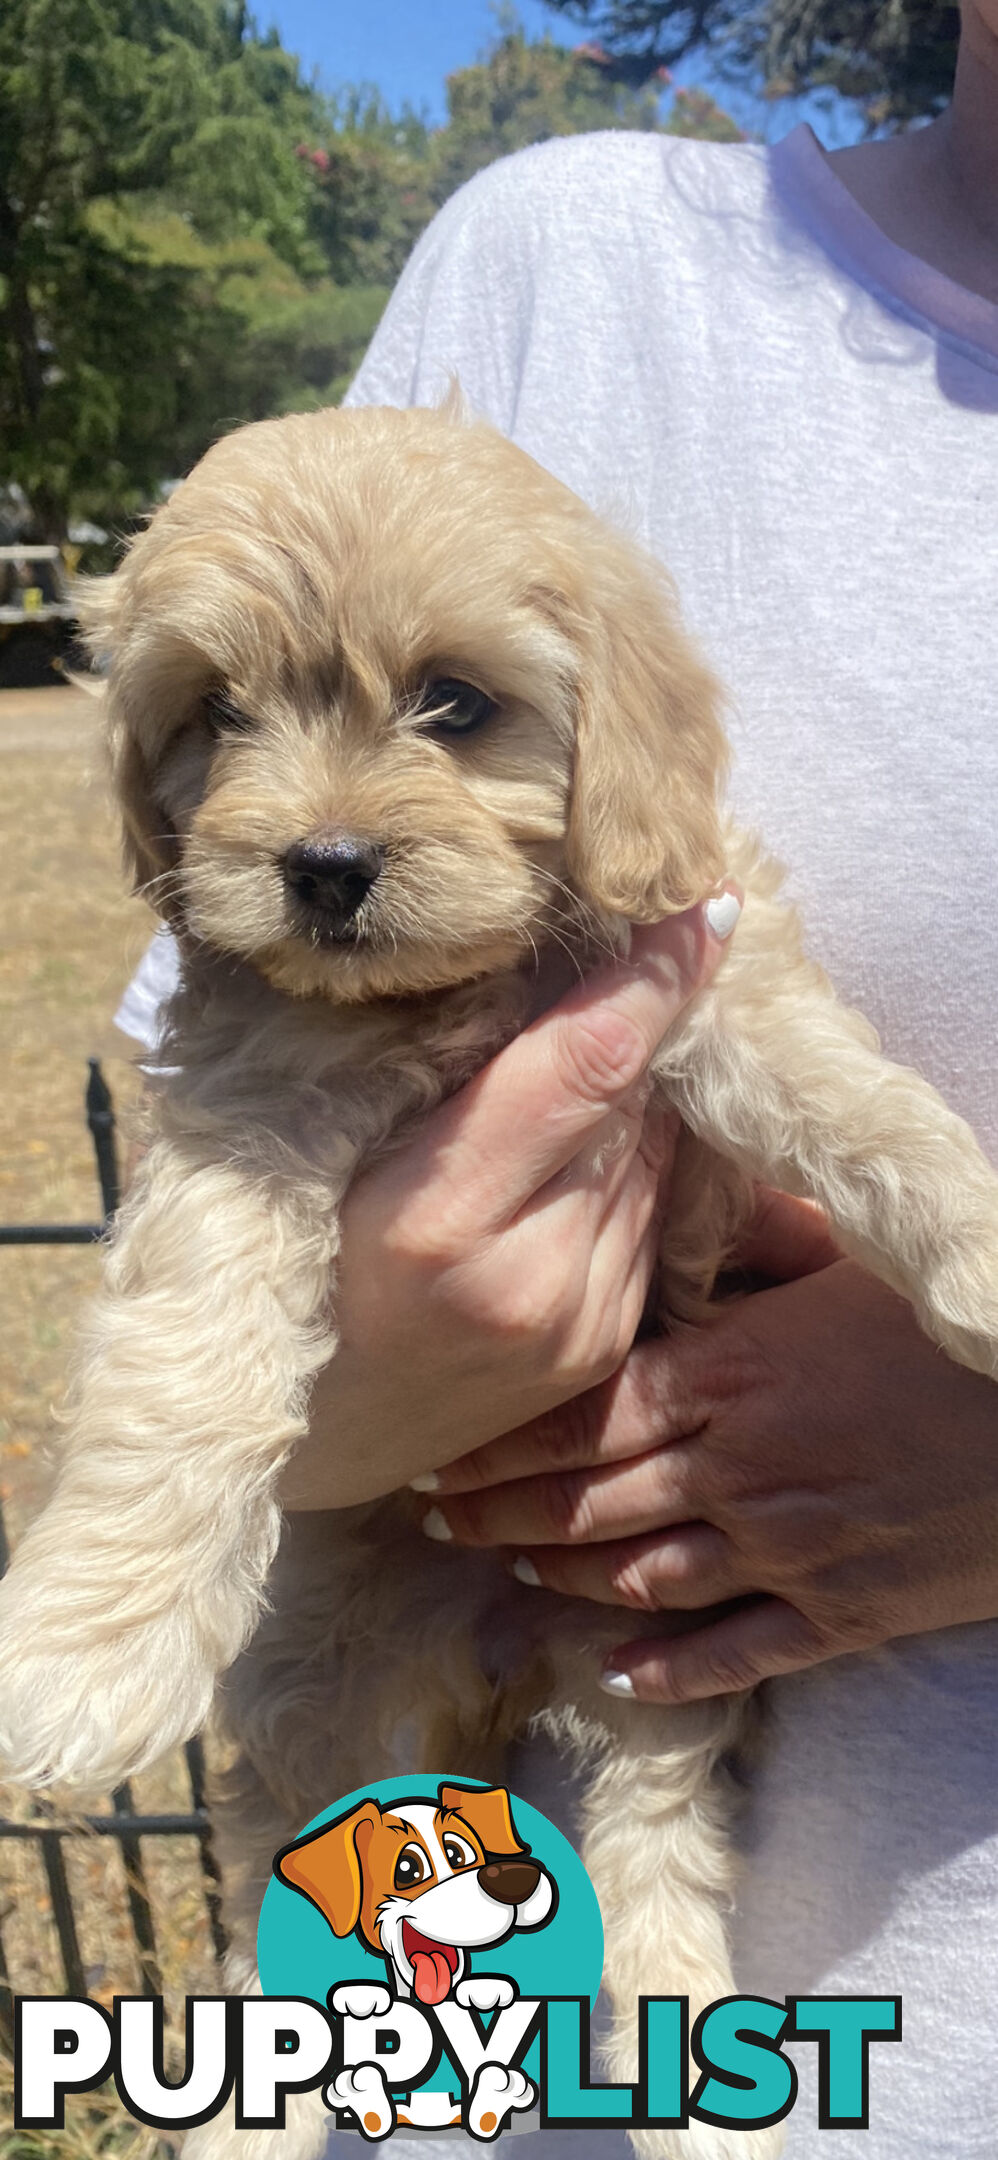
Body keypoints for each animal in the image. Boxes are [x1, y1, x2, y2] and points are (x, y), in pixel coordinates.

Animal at [1, 401, 998, 2160]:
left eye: (453, 704)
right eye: (217, 714)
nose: (323, 865)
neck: (448, 991)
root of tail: (494, 1670)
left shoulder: (709, 967)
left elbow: (862, 1106)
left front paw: (989, 1255)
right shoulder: (243, 1117)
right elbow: (190, 1353)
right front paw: (85, 1646)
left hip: (655, 1679)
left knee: (657, 1865)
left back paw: (699, 2096)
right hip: (317, 1705)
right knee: (280, 1912)